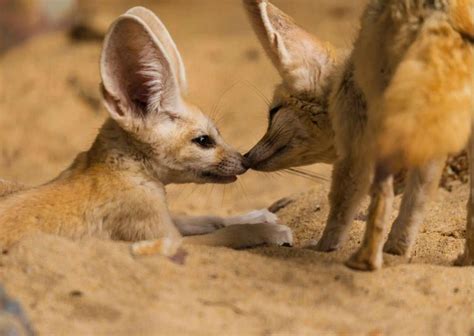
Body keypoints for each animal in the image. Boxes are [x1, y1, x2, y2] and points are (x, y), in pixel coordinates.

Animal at [0, 6, 292, 255]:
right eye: (203, 140)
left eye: (218, 132)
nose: (244, 161)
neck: (122, 170)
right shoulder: (163, 237)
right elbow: (227, 234)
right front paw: (265, 231)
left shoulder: (167, 220)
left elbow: (206, 218)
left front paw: (255, 215)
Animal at [244, 0, 474, 270]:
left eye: (273, 112)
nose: (245, 157)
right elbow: (418, 197)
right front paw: (397, 251)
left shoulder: (356, 136)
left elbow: (342, 202)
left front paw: (323, 248)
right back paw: (466, 261)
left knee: (382, 194)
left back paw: (364, 261)